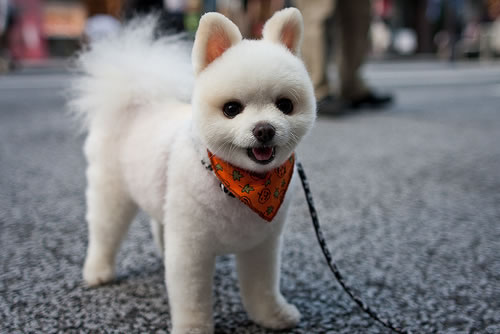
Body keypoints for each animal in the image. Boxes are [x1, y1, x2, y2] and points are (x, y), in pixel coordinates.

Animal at [70, 7, 314, 334]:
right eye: (232, 109)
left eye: (285, 105)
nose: (264, 129)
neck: (240, 186)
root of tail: (136, 101)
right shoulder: (191, 251)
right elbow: (192, 301)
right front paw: (193, 328)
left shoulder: (261, 245)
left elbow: (262, 288)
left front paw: (272, 316)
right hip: (112, 191)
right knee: (104, 230)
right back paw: (98, 271)